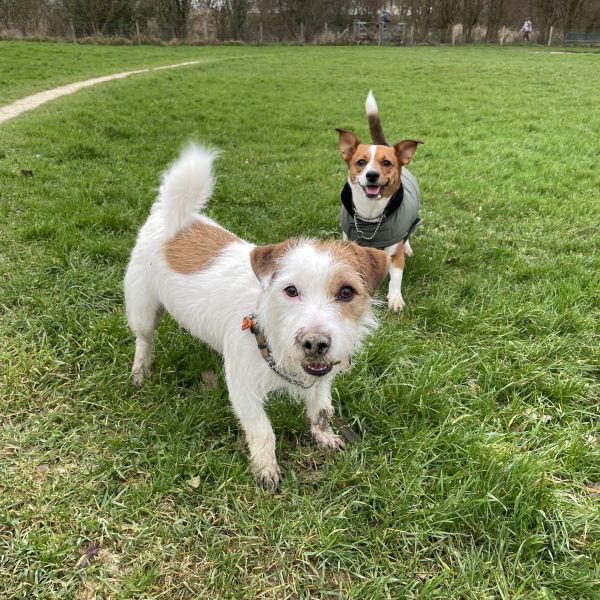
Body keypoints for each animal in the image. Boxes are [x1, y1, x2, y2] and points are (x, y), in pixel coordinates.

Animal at [124, 146, 392, 492]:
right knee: (144, 340)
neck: (267, 328)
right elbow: (263, 430)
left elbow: (321, 409)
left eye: (347, 292)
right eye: (290, 290)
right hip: (142, 310)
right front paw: (266, 468)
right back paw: (140, 372)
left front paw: (325, 436)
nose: (315, 343)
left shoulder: (320, 379)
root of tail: (173, 216)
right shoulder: (243, 389)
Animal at [338, 92, 422, 314]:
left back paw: (408, 247)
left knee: (407, 234)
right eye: (361, 162)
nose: (372, 175)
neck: (370, 216)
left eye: (386, 163)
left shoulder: (395, 255)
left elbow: (395, 279)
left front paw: (395, 299)